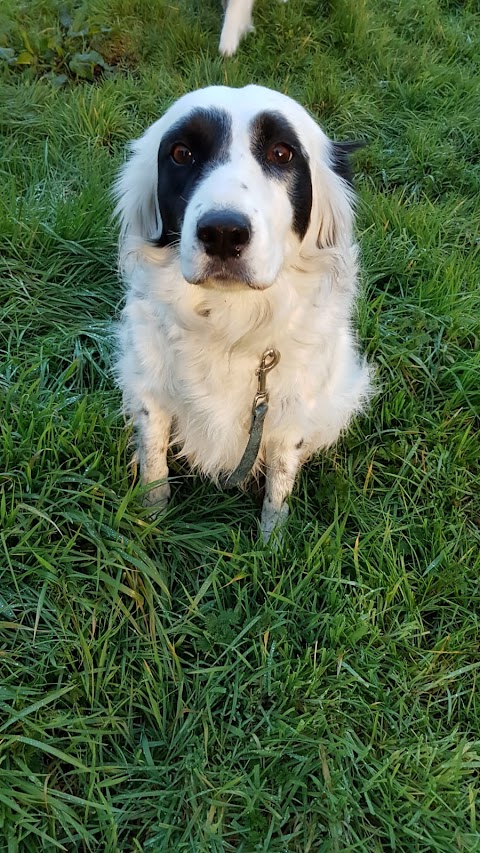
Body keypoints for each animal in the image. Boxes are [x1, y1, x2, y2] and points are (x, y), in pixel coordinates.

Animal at [113, 85, 372, 540]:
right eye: (181, 153)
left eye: (282, 153)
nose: (222, 232)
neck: (228, 321)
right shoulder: (148, 389)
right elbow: (154, 459)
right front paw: (151, 516)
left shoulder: (290, 410)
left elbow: (280, 480)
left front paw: (272, 541)